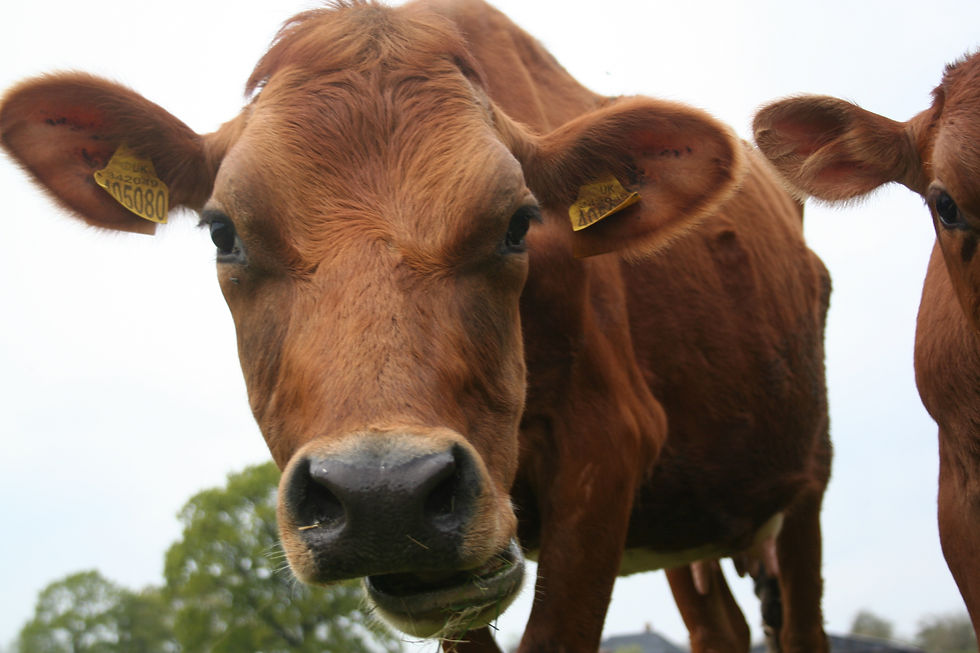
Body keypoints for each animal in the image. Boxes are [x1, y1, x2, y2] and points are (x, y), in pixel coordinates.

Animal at [0, 1, 832, 651]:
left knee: (800, 623)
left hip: (806, 486)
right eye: (222, 232)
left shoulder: (608, 447)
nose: (383, 492)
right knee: (720, 627)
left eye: (520, 223)